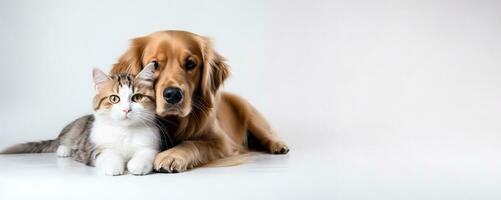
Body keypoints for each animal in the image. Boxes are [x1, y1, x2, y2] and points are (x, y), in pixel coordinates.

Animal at [0, 63, 160, 176]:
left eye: (137, 98)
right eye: (114, 98)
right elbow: (106, 153)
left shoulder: (153, 144)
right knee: (63, 141)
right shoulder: (94, 148)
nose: (126, 110)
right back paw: (64, 150)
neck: (125, 131)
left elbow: (148, 153)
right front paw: (113, 166)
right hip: (74, 130)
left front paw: (138, 164)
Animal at [111, 30, 288, 173]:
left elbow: (193, 143)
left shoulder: (223, 143)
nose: (173, 94)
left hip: (250, 114)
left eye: (190, 63)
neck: (173, 122)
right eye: (154, 64)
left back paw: (278, 146)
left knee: (267, 134)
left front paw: (171, 156)